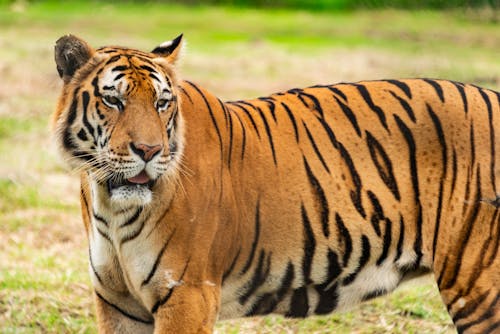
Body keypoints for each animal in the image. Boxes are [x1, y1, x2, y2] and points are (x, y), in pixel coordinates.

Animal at [52, 34, 498, 334]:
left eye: (162, 103)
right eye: (114, 100)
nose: (149, 150)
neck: (112, 207)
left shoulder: (188, 294)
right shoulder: (118, 303)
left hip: (478, 283)